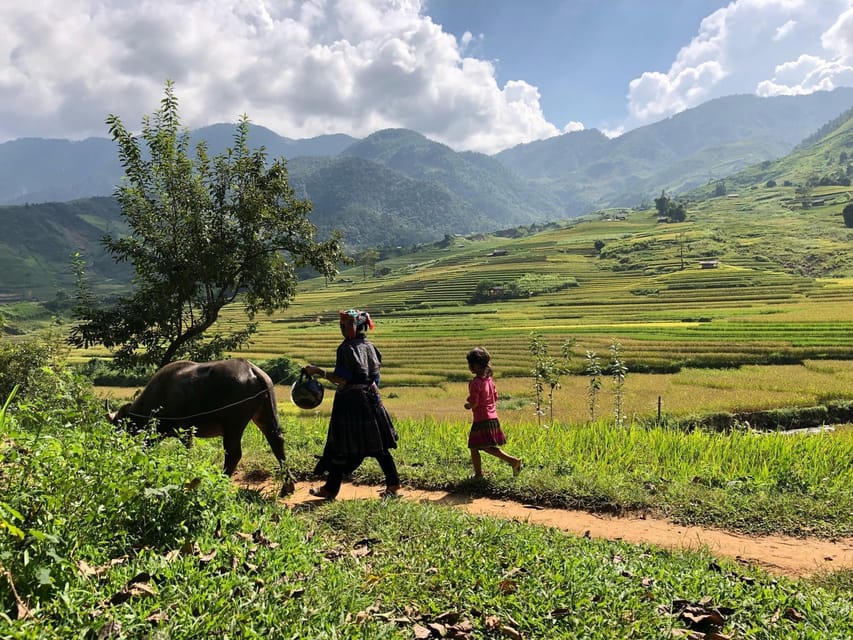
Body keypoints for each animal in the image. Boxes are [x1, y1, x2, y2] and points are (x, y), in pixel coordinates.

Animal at [110, 358, 292, 482]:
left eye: (121, 429)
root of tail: (251, 370)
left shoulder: (184, 430)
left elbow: (186, 451)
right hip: (265, 414)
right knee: (277, 441)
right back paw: (287, 486)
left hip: (233, 423)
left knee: (233, 454)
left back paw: (222, 480)